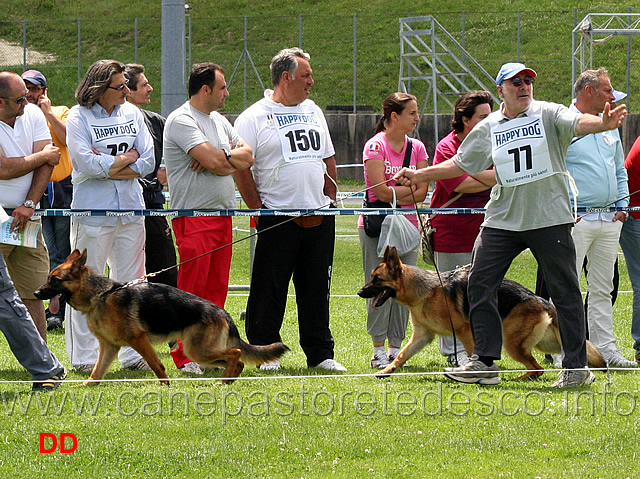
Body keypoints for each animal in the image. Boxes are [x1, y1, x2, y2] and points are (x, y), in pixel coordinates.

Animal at [32, 251, 288, 386]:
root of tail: (222, 313)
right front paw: (87, 385)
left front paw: (165, 385)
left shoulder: (138, 340)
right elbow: (97, 370)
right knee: (239, 361)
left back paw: (224, 381)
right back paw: (227, 381)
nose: (35, 293)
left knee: (235, 354)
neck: (101, 295)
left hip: (199, 350)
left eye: (54, 280)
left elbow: (157, 364)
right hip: (202, 352)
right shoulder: (110, 346)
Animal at [360, 248, 604, 378]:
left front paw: (474, 371)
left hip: (512, 343)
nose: (360, 292)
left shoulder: (464, 331)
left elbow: (472, 353)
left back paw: (521, 377)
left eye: (377, 279)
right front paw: (388, 370)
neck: (426, 291)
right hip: (546, 343)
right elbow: (402, 354)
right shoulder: (422, 336)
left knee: (538, 368)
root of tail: (542, 300)